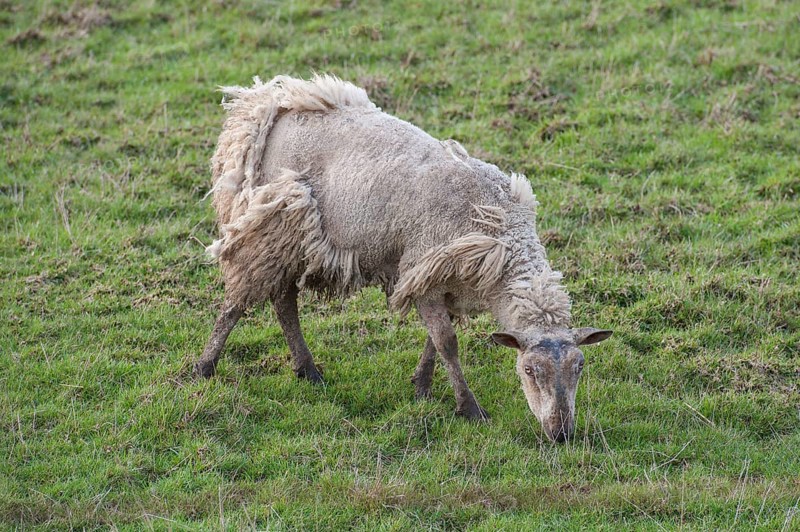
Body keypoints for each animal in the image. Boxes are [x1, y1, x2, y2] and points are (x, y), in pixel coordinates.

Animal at [195, 74, 612, 442]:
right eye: (528, 370)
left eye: (580, 366)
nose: (562, 434)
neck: (503, 234)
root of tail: (265, 103)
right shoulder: (423, 271)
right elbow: (447, 342)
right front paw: (468, 407)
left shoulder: (441, 279)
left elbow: (437, 337)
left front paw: (422, 386)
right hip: (271, 223)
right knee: (238, 301)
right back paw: (205, 366)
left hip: (294, 240)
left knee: (283, 301)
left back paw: (307, 370)